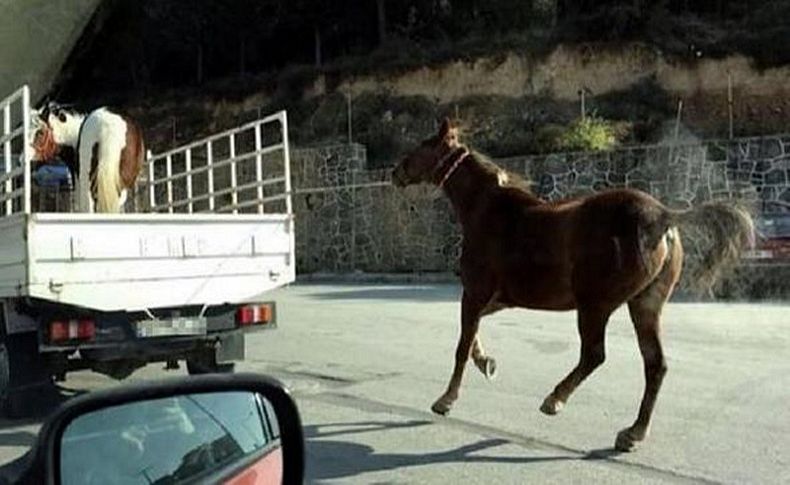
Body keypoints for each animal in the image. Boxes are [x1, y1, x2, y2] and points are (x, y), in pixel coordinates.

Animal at [394, 119, 756, 452]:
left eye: (423, 146)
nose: (397, 172)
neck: (490, 211)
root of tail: (663, 216)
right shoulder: (497, 298)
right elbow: (473, 338)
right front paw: (487, 363)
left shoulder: (474, 292)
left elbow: (462, 345)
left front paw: (446, 399)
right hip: (644, 304)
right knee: (655, 364)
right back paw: (632, 433)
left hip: (595, 305)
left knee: (595, 355)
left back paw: (555, 400)